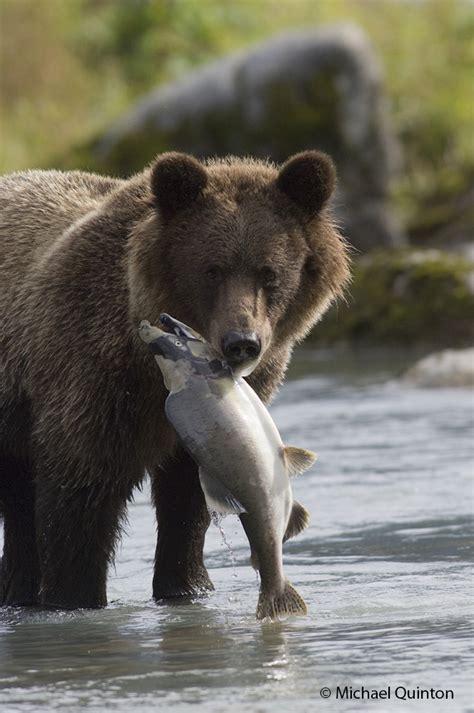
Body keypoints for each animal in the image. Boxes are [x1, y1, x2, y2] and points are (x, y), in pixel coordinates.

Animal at [0, 150, 348, 608]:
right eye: (212, 270)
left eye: (269, 272)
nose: (242, 342)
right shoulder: (89, 376)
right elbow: (79, 495)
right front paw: (73, 595)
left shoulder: (221, 419)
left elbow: (187, 500)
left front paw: (187, 586)